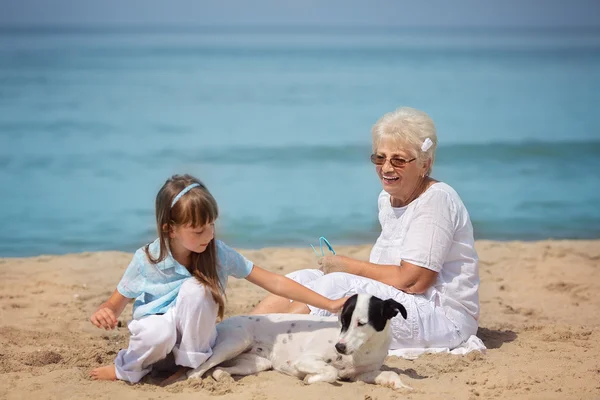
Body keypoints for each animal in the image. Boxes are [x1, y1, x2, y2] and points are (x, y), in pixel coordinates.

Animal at [186, 294, 412, 390]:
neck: (364, 350)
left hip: (256, 363)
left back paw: (222, 376)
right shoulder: (304, 360)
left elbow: (389, 373)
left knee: (218, 369)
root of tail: (223, 322)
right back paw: (194, 378)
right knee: (199, 367)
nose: (338, 347)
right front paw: (310, 379)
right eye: (343, 321)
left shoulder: (362, 374)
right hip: (236, 342)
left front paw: (398, 384)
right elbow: (332, 371)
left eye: (361, 323)